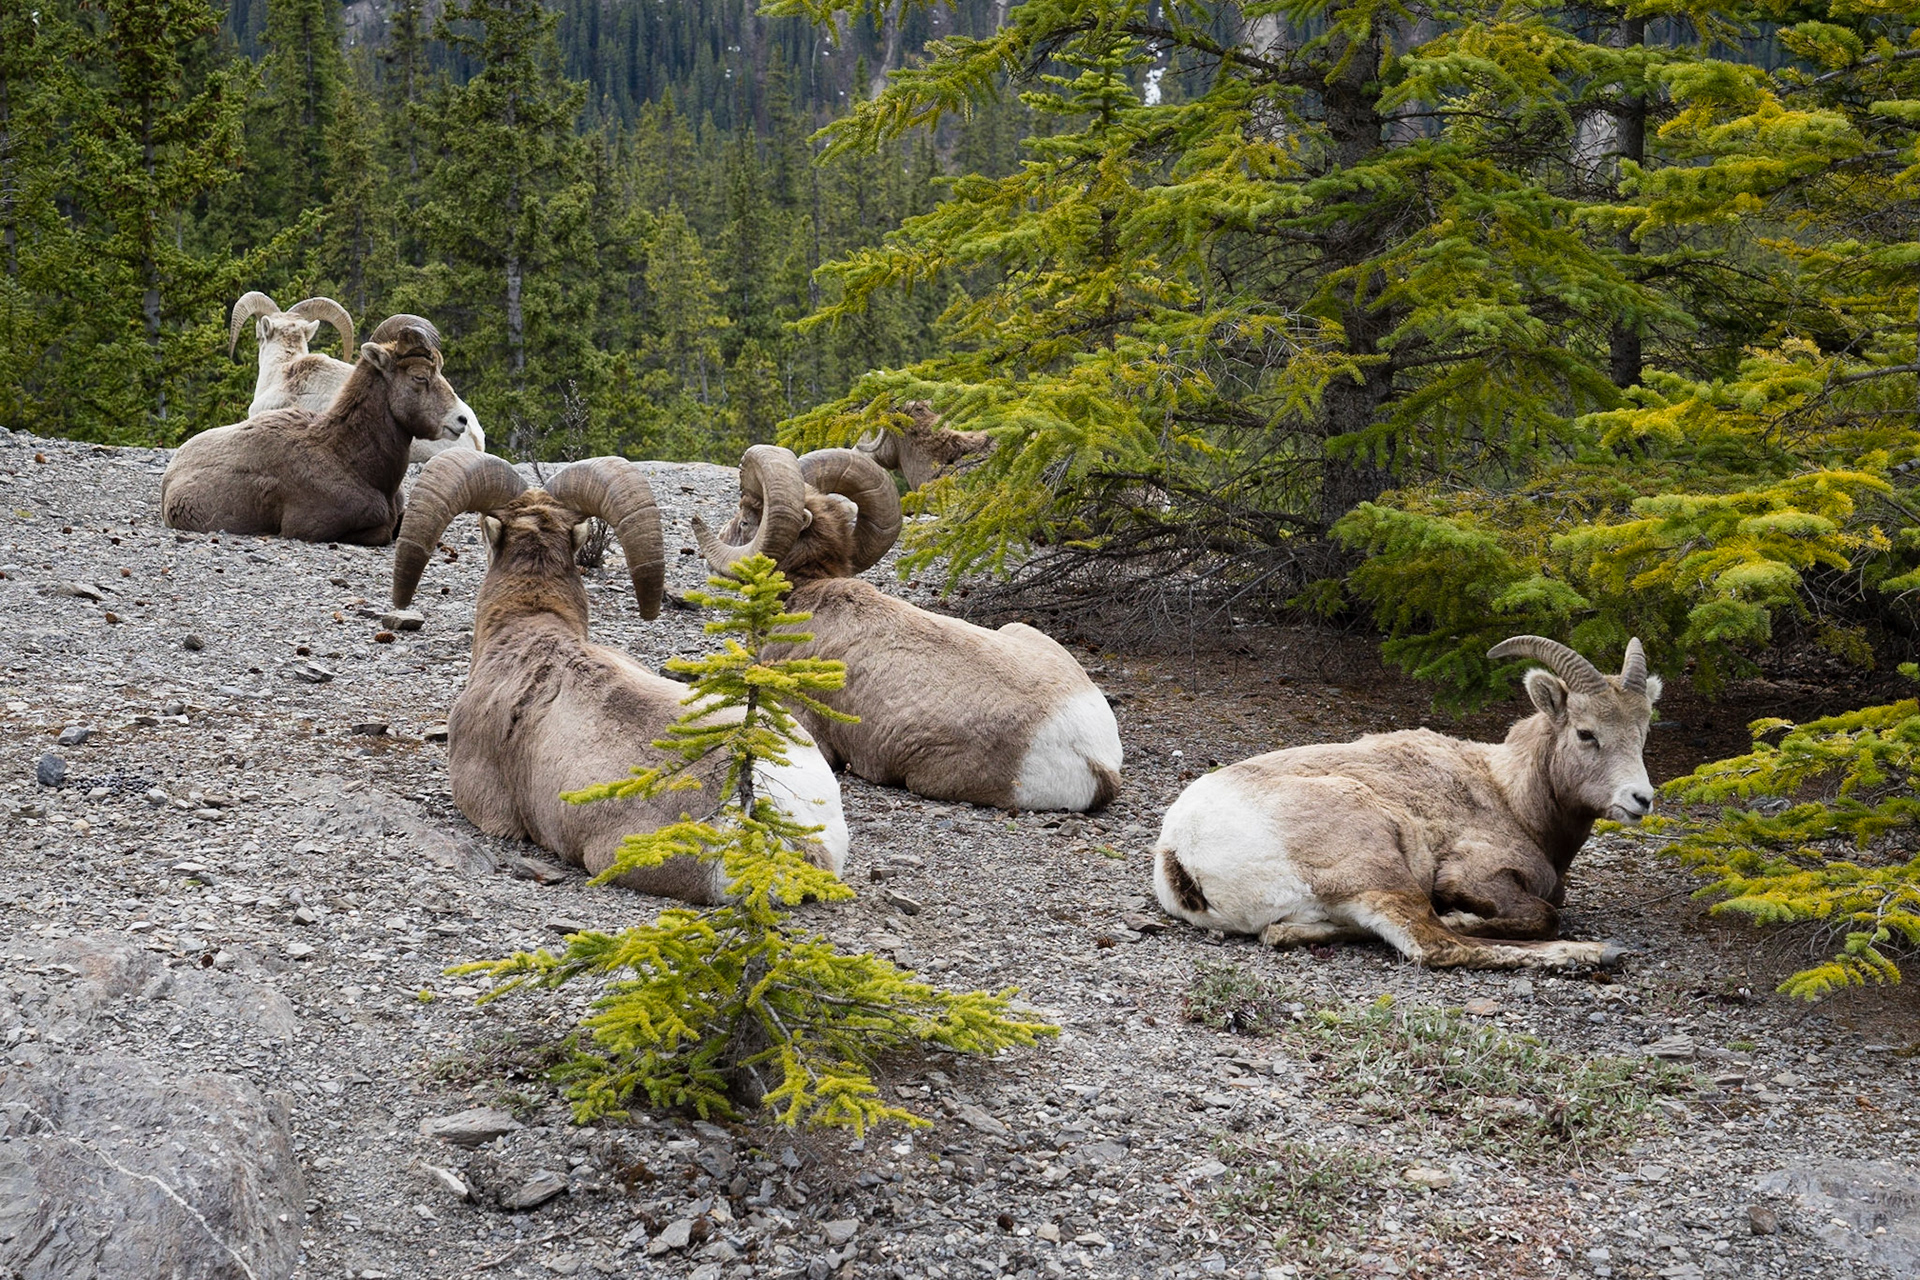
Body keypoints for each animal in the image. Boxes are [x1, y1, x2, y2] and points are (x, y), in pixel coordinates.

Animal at [1151, 636, 1662, 969]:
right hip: (1380, 866)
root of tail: (1180, 855)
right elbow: (1543, 916)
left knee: (1285, 931)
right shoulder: (1476, 873)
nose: (1640, 799)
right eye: (1586, 733)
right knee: (1431, 941)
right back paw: (1599, 953)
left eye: (1643, 731)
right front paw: (1466, 914)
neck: (1510, 797)